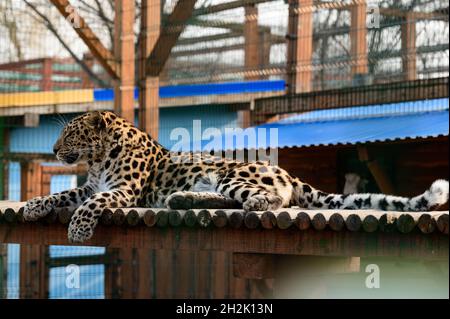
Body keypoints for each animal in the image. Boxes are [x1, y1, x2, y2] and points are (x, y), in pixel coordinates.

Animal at [22, 111, 448, 244]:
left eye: (70, 135)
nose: (54, 150)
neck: (97, 160)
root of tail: (286, 171)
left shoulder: (121, 191)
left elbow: (91, 205)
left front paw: (78, 231)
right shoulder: (88, 186)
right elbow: (61, 198)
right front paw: (31, 207)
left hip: (231, 174)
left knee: (266, 199)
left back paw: (254, 201)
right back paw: (182, 200)